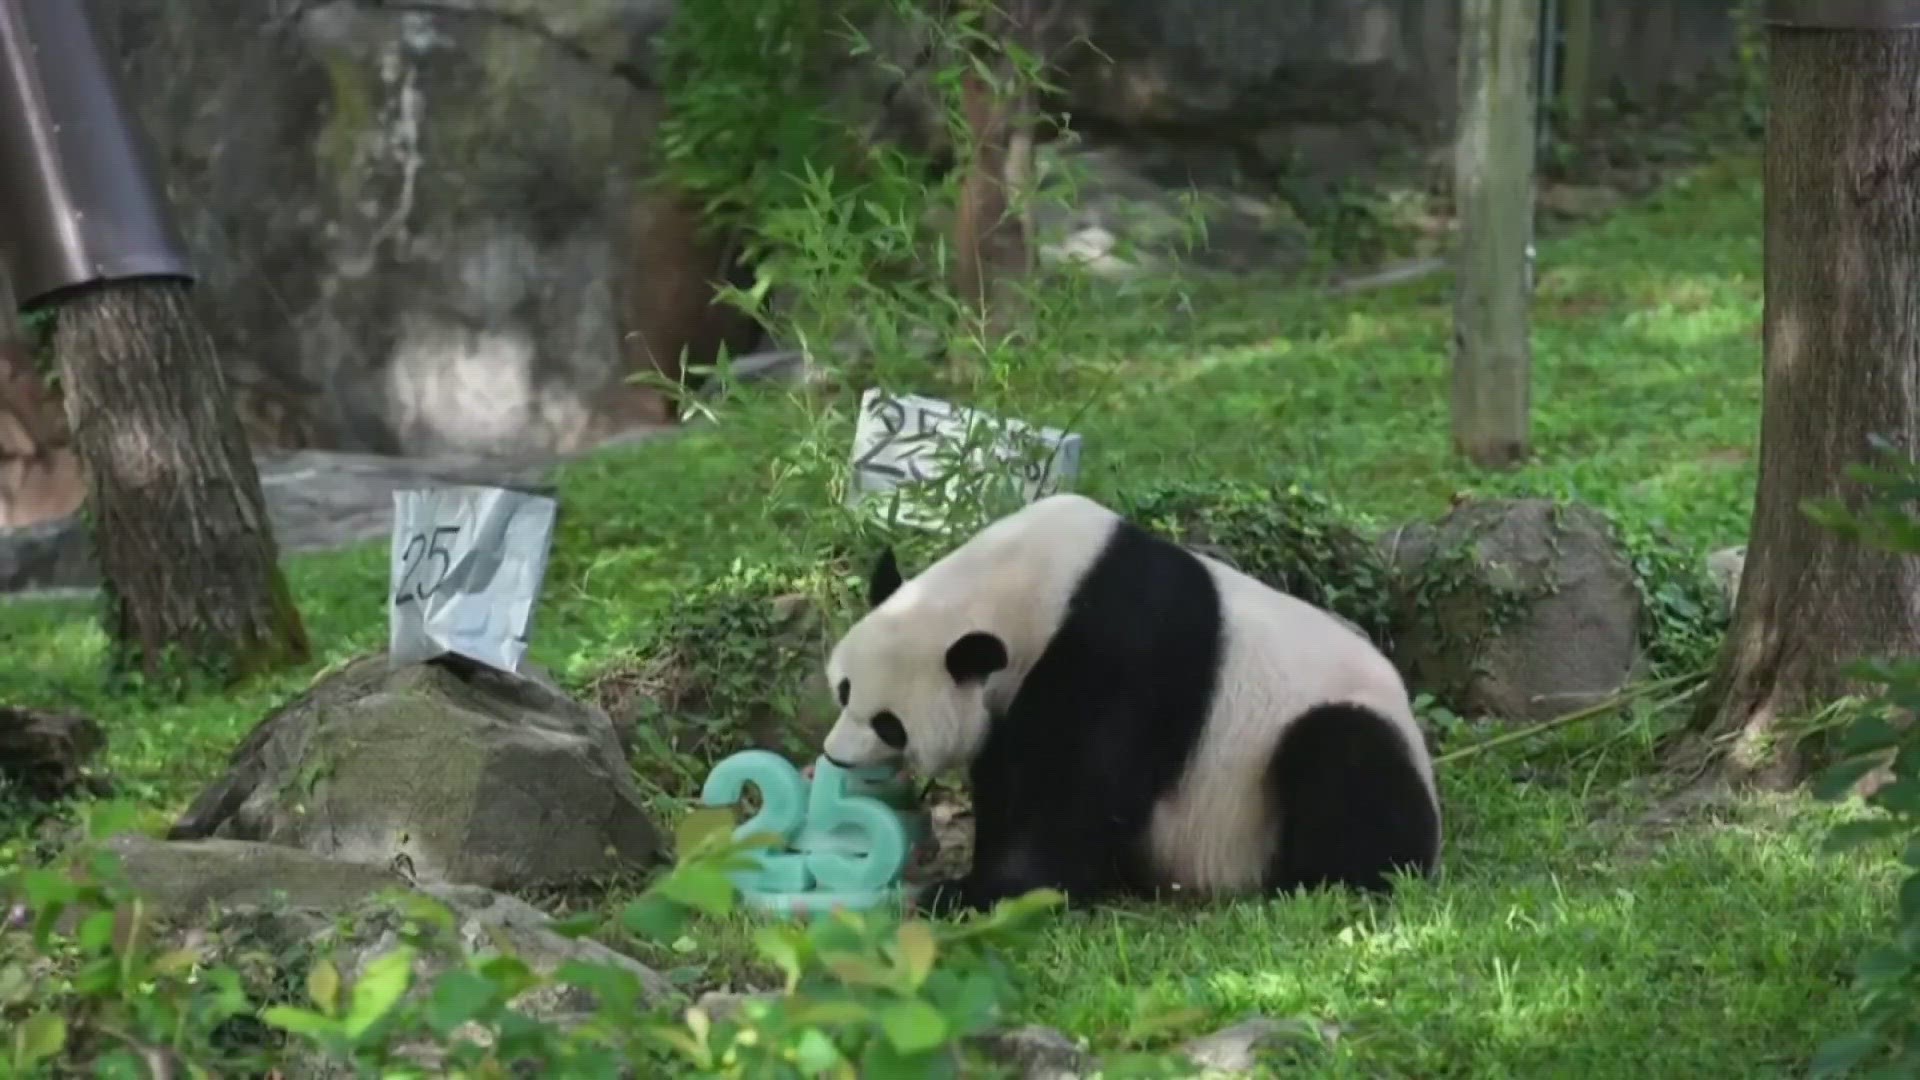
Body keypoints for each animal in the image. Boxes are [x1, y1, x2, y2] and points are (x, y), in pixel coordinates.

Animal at [821, 491, 1443, 910]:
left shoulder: (1122, 644)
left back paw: (1326, 880)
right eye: (844, 690)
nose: (835, 757)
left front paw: (977, 892)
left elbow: (1076, 782)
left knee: (1348, 760)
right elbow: (1009, 773)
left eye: (889, 723)